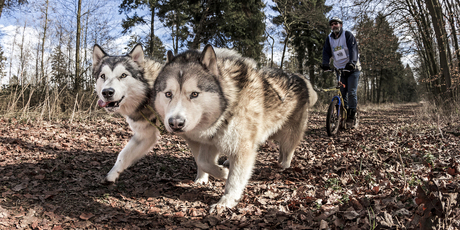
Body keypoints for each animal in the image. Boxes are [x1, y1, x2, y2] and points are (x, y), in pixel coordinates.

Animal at [92, 44, 164, 182]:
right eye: (103, 76)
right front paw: (112, 175)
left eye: (123, 75)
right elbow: (123, 155)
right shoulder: (145, 136)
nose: (107, 92)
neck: (149, 95)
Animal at [153, 44, 318, 210]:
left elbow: (234, 179)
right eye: (168, 94)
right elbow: (203, 162)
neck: (228, 106)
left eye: (194, 94)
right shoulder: (208, 141)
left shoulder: (242, 148)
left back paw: (284, 166)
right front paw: (220, 173)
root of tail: (301, 77)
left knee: (288, 149)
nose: (175, 123)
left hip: (287, 134)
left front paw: (226, 200)